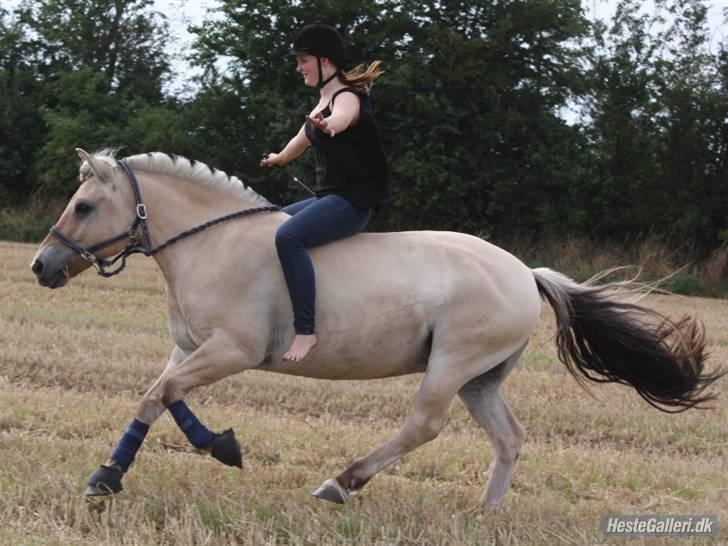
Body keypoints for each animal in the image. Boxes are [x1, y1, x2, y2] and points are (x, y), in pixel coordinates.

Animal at [29, 148, 724, 506]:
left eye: (83, 206)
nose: (41, 266)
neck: (209, 243)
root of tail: (526, 274)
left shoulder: (232, 350)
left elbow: (165, 395)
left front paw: (206, 451)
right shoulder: (190, 349)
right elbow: (156, 398)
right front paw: (121, 472)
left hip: (450, 365)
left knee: (424, 426)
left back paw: (343, 483)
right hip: (481, 378)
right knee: (508, 438)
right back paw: (484, 515)